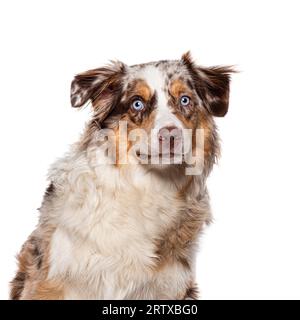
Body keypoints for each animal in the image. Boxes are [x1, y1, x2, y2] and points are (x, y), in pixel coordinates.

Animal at [9, 51, 234, 298]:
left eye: (185, 100)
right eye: (137, 103)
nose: (170, 135)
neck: (149, 185)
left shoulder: (171, 284)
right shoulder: (52, 278)